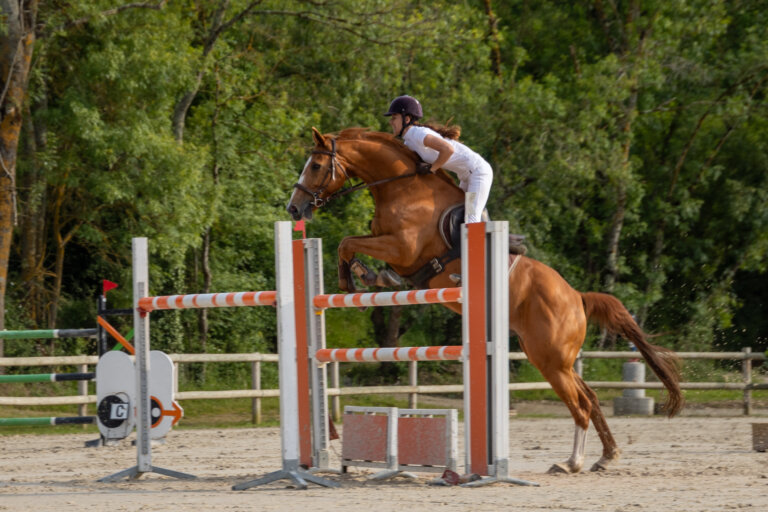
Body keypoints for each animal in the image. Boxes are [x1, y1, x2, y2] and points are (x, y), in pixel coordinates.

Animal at [287, 127, 684, 474]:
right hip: (555, 358)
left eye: (316, 165)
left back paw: (571, 463)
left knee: (581, 405)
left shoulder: (403, 248)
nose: (294, 209)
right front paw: (365, 276)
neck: (401, 188)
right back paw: (606, 456)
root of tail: (576, 297)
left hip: (550, 360)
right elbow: (351, 243)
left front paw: (353, 279)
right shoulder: (391, 245)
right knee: (591, 399)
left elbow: (348, 243)